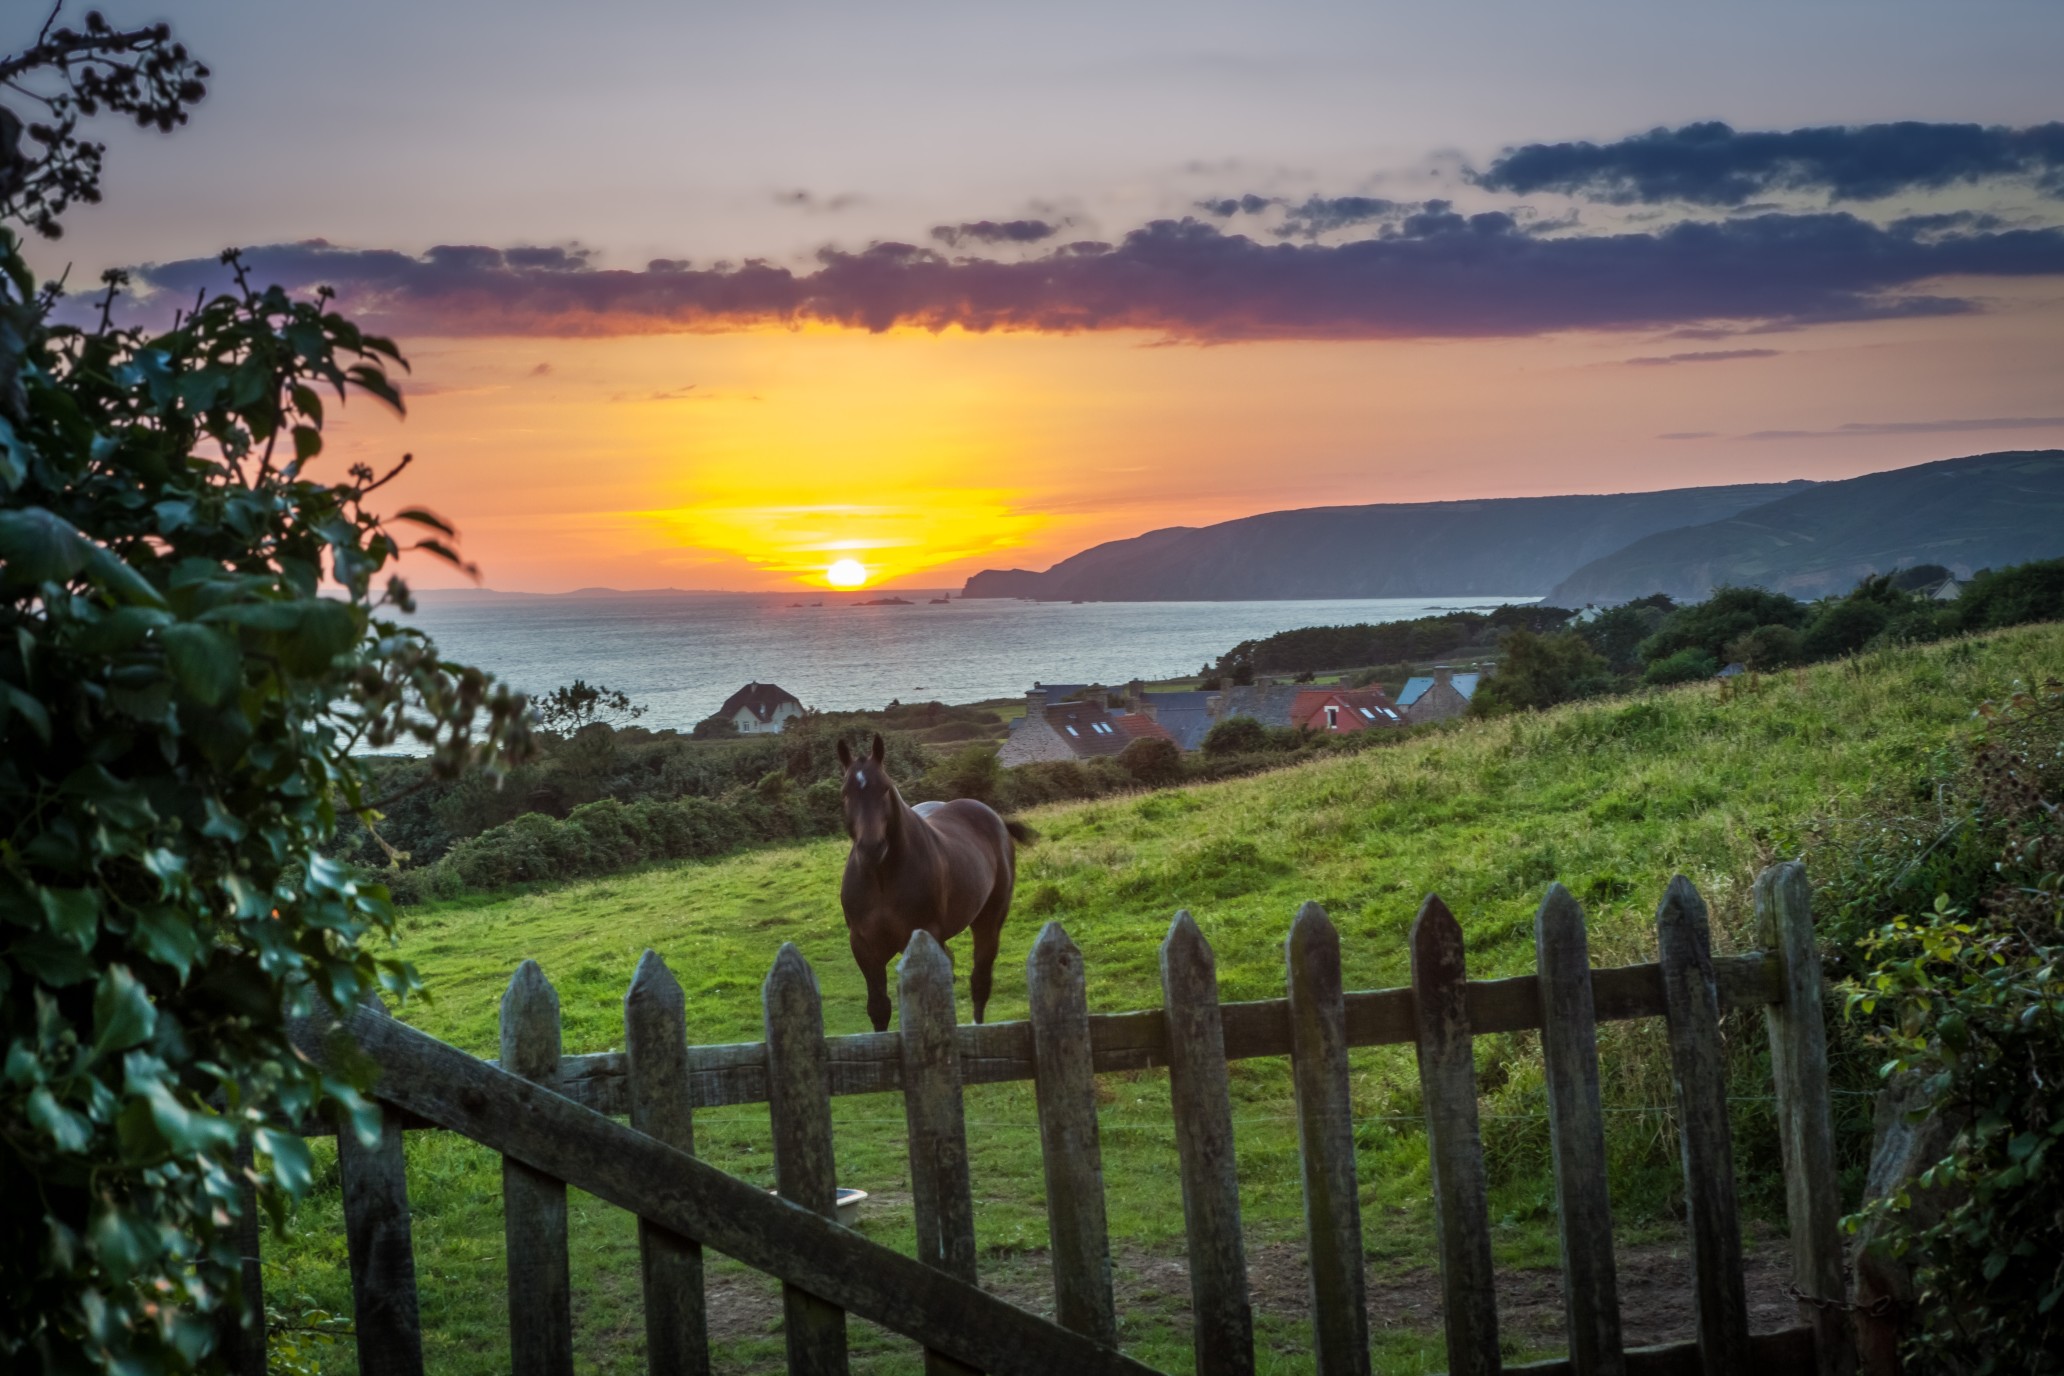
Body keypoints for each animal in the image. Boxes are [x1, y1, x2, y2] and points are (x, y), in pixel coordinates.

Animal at [837, 738, 1032, 1027]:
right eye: (845, 792)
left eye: (885, 787)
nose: (872, 848)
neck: (882, 877)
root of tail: (992, 815)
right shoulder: (864, 947)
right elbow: (879, 1008)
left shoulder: (925, 935)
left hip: (989, 920)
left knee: (980, 982)